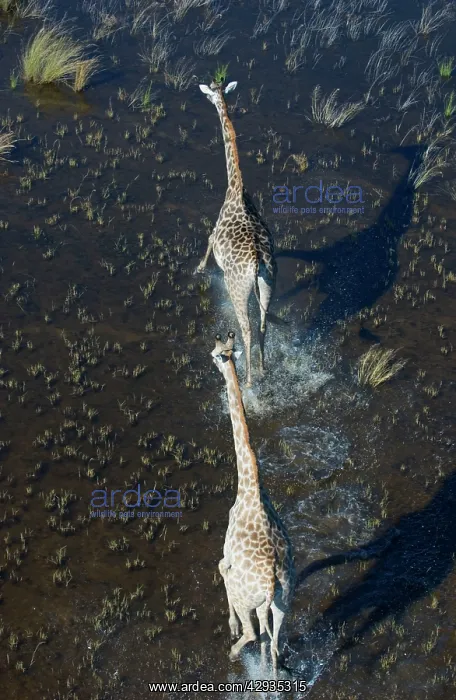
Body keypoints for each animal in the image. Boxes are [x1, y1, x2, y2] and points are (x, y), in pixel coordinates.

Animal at [197, 80, 278, 387]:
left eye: (211, 95)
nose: (213, 100)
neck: (236, 188)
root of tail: (256, 263)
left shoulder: (214, 228)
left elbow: (208, 239)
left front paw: (198, 268)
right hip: (268, 284)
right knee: (264, 324)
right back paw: (264, 369)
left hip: (237, 289)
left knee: (247, 329)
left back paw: (249, 380)